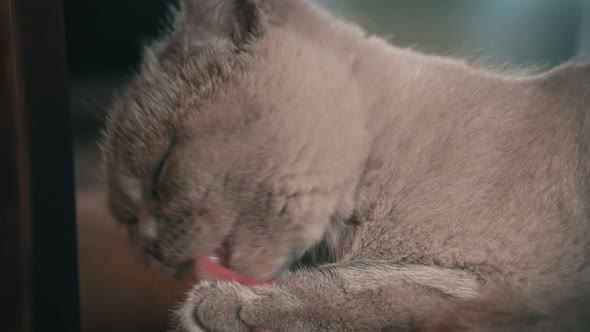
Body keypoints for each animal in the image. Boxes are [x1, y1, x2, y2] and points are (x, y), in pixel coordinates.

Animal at [102, 0, 590, 332]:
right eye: (128, 220)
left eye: (160, 173)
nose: (149, 249)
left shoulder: (507, 281)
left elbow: (355, 289)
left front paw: (221, 307)